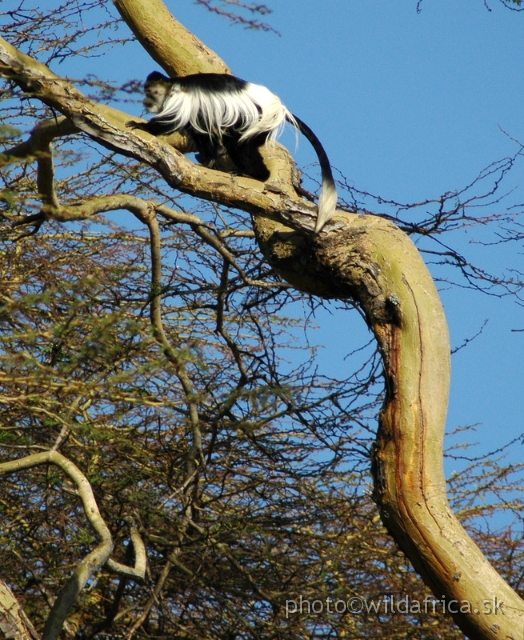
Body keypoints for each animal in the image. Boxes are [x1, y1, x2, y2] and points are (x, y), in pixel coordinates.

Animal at [139, 71, 336, 234]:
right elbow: (200, 130)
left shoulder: (179, 100)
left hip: (256, 117)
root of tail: (278, 105)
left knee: (238, 142)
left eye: (150, 92)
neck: (171, 87)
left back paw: (256, 175)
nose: (146, 102)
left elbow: (172, 120)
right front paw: (208, 158)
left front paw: (143, 127)